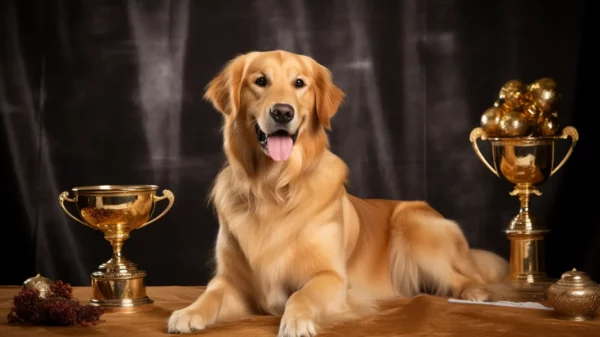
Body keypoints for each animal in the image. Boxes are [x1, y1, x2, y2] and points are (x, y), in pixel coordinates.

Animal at [166, 50, 508, 336]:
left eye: (299, 83)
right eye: (260, 81)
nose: (282, 112)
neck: (274, 187)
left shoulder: (331, 277)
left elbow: (301, 294)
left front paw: (296, 320)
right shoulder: (232, 280)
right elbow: (211, 293)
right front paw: (188, 312)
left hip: (416, 226)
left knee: (467, 277)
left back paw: (476, 293)